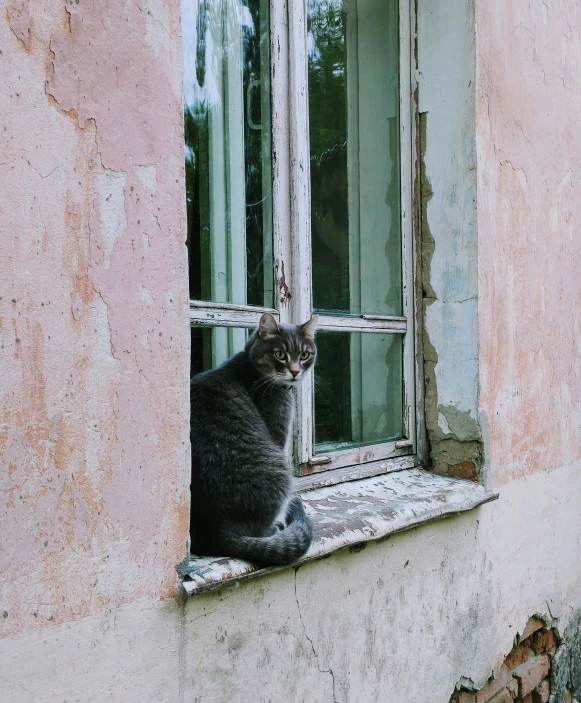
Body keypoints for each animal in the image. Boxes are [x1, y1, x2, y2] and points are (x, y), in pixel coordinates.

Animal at [189, 314, 318, 568]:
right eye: (281, 355)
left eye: (304, 355)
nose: (295, 371)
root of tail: (216, 533)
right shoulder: (278, 434)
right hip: (280, 469)